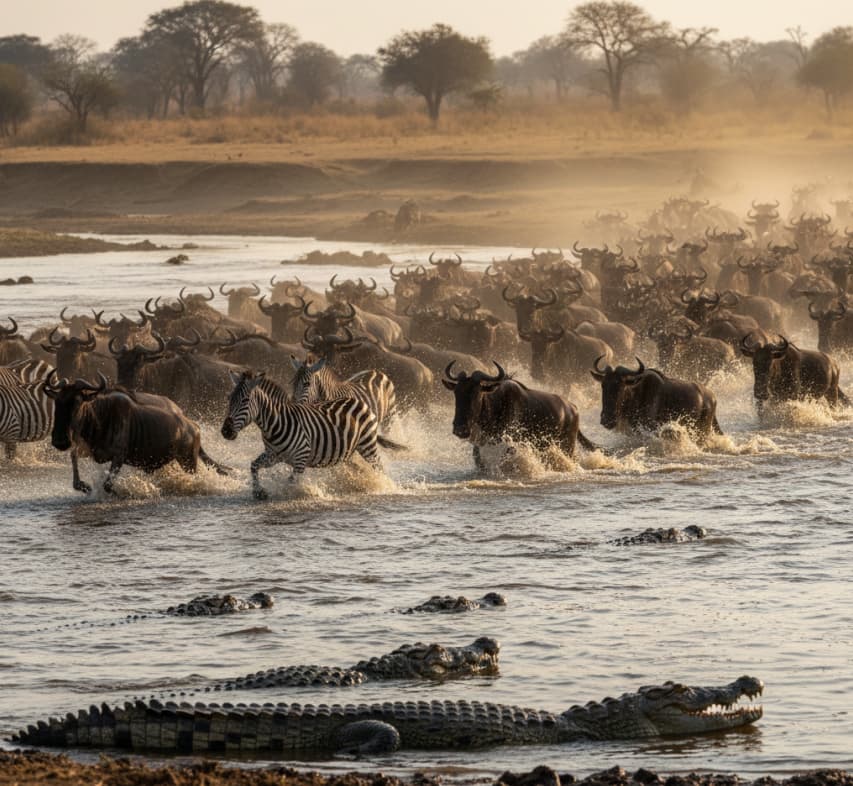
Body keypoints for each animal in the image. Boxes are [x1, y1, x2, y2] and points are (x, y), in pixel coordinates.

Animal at [221, 370, 406, 499]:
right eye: (229, 399)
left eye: (245, 401)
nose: (225, 431)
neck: (276, 423)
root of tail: (359, 402)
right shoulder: (273, 455)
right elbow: (253, 466)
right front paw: (259, 493)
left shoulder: (301, 458)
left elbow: (291, 482)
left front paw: (293, 494)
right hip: (347, 453)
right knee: (358, 469)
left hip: (367, 445)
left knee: (378, 467)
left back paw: (383, 486)